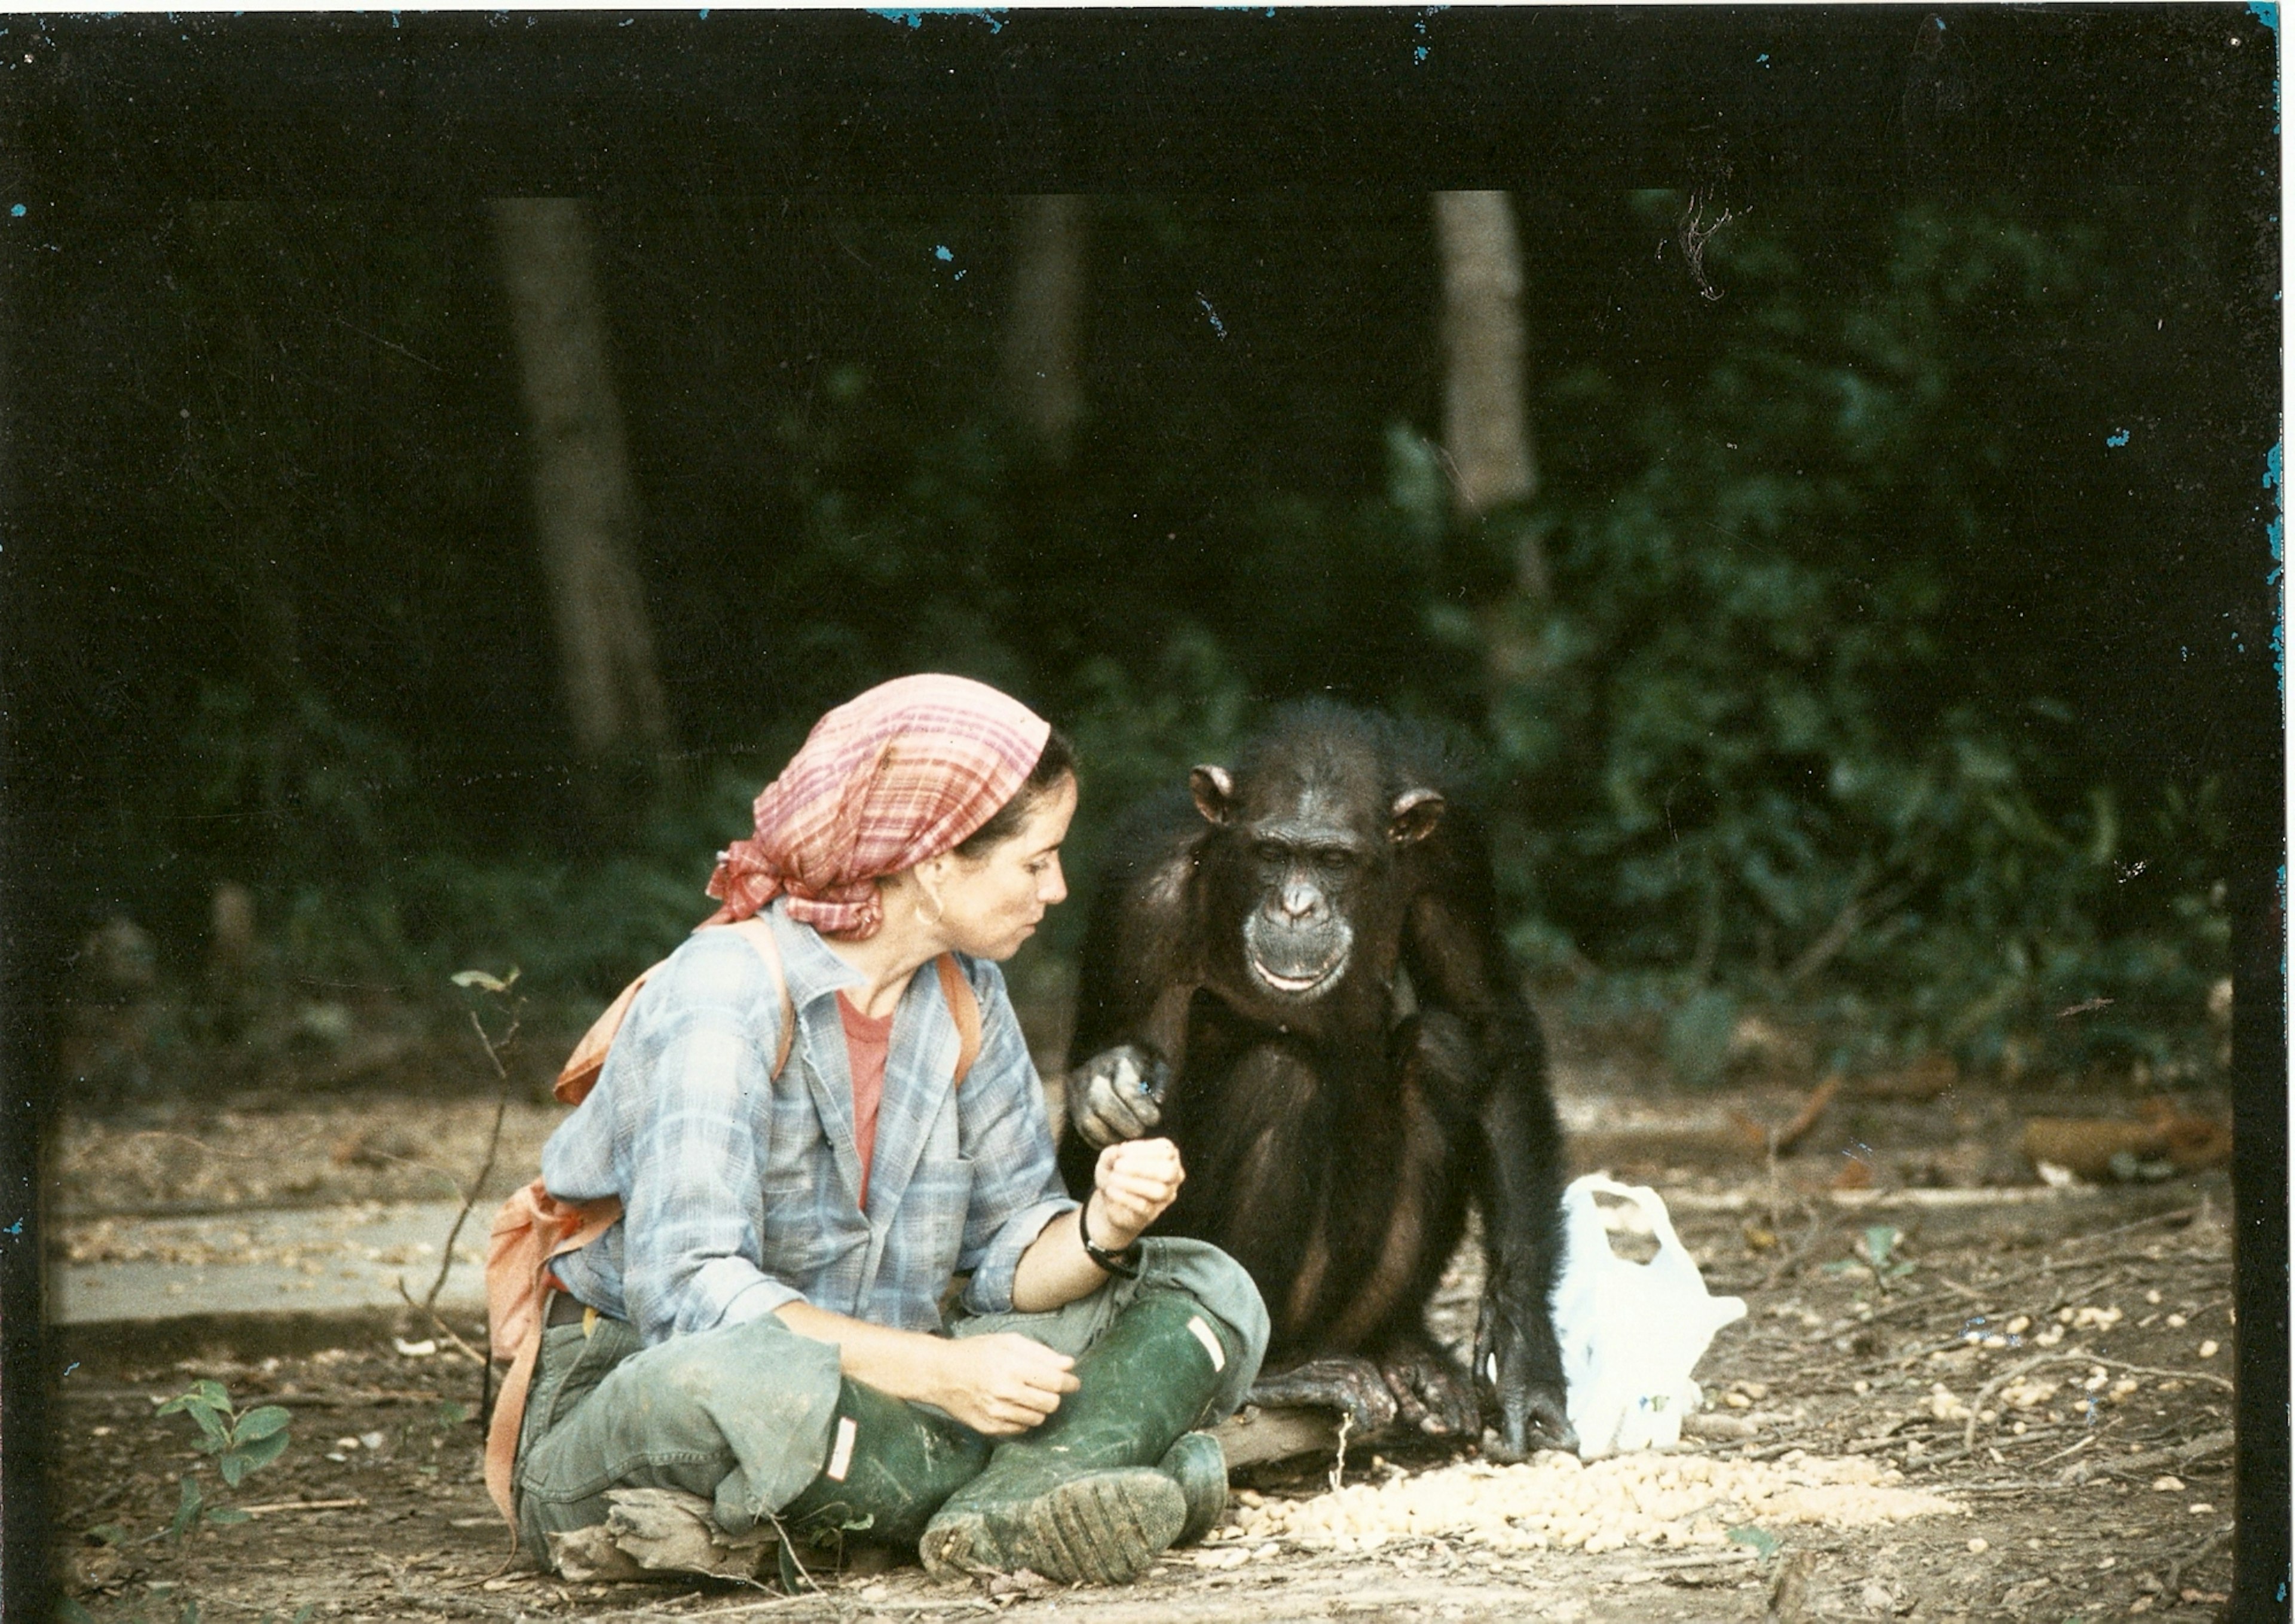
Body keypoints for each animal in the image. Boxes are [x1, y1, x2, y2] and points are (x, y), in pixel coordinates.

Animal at [1060, 702, 1578, 1468]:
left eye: (1334, 860)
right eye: (1274, 853)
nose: (1298, 905)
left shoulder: (1453, 852)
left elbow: (1488, 1024)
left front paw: (1524, 1353)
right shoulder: (1140, 892)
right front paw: (1106, 1085)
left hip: (1354, 1302)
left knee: (1443, 1049)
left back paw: (1405, 1350)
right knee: (1282, 1077)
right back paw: (1280, 1370)